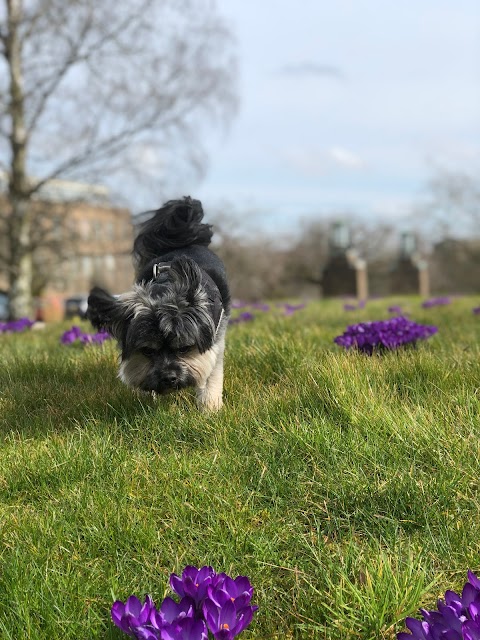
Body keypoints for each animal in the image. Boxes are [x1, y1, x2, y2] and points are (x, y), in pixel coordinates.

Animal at [87, 195, 232, 412]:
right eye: (147, 351)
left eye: (184, 348)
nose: (169, 377)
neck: (164, 290)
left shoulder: (214, 336)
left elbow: (212, 372)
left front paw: (209, 407)